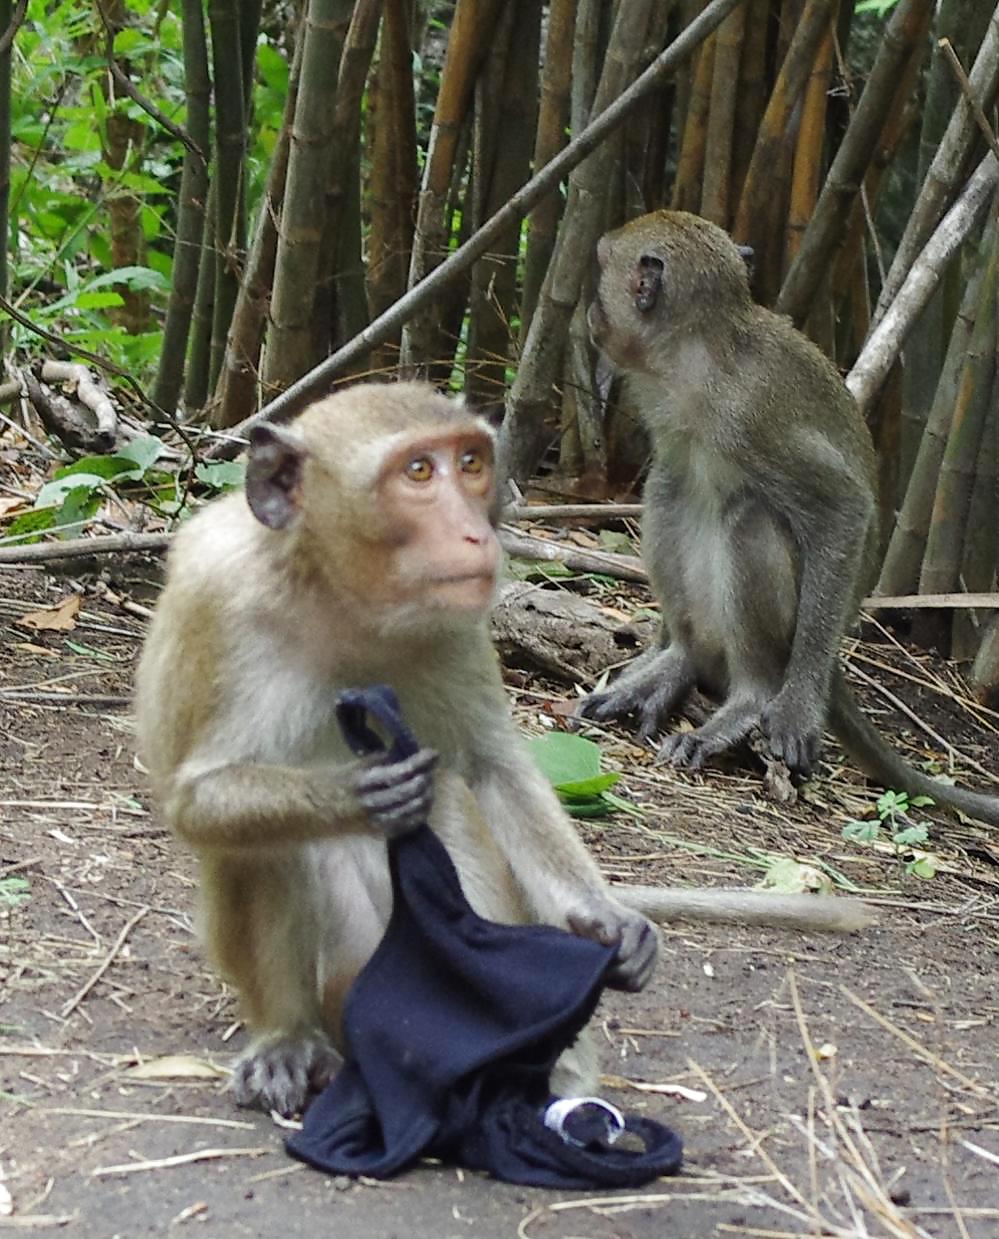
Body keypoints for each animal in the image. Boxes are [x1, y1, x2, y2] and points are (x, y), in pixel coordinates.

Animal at [135, 381, 873, 1119]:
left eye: (469, 463)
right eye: (417, 472)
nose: (475, 531)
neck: (340, 595)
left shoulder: (461, 618)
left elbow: (495, 769)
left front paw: (603, 919)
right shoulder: (216, 601)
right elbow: (194, 800)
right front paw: (357, 789)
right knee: (261, 843)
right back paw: (289, 1039)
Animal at [579, 210, 999, 829]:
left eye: (602, 265)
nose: (590, 311)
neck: (698, 361)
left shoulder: (752, 417)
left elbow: (843, 509)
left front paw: (797, 706)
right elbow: (673, 480)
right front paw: (660, 660)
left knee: (748, 517)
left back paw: (750, 698)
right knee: (669, 488)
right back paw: (681, 660)